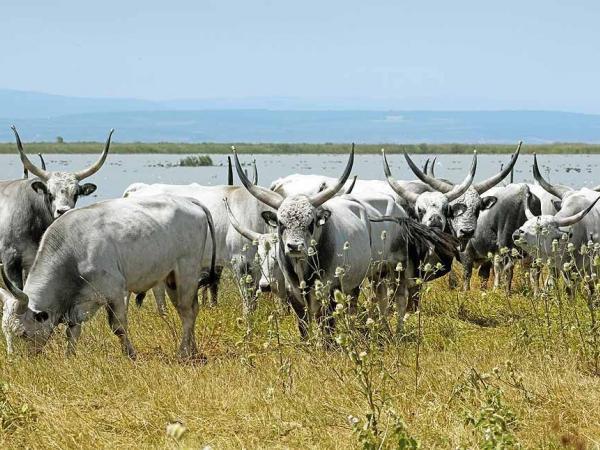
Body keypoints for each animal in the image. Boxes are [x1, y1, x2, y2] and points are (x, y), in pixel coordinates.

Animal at [0, 195, 216, 356]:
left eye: (22, 334)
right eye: (5, 333)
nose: (15, 362)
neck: (73, 250)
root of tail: (188, 200)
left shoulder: (115, 292)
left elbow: (118, 327)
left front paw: (130, 355)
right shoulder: (80, 303)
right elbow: (72, 330)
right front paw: (69, 357)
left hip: (187, 271)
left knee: (187, 312)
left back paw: (183, 352)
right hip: (171, 277)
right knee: (189, 310)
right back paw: (193, 350)